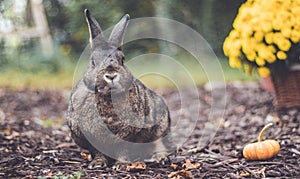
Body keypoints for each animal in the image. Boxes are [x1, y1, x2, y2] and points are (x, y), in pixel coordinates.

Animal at [66, 9, 172, 170]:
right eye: (93, 61)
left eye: (122, 59)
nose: (111, 75)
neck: (107, 96)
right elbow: (98, 152)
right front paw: (97, 164)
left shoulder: (129, 135)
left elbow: (124, 150)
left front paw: (121, 165)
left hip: (160, 125)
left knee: (158, 143)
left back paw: (161, 158)